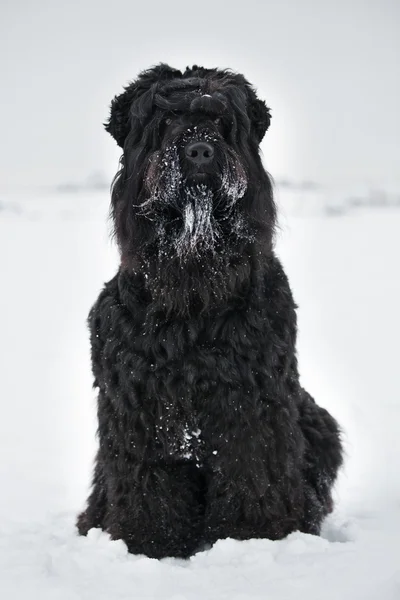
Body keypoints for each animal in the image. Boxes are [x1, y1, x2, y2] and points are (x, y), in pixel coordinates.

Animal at [77, 64, 344, 556]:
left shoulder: (252, 400)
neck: (193, 295)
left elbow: (251, 470)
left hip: (317, 421)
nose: (200, 149)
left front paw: (252, 536)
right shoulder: (136, 403)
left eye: (222, 122)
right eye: (164, 119)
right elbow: (146, 480)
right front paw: (149, 542)